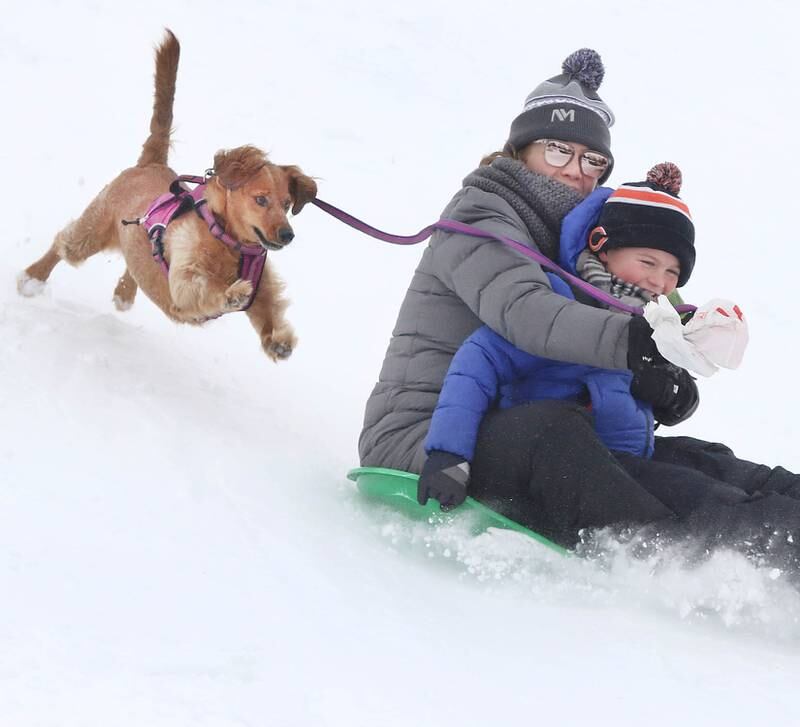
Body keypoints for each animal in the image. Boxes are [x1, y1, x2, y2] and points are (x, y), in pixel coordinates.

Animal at [18, 30, 316, 362]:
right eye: (261, 199)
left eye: (287, 204)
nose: (287, 234)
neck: (227, 239)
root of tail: (152, 163)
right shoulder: (184, 280)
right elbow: (204, 288)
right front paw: (230, 294)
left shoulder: (264, 289)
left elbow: (269, 311)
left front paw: (278, 340)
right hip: (92, 230)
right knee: (63, 243)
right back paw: (32, 278)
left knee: (133, 262)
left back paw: (124, 291)